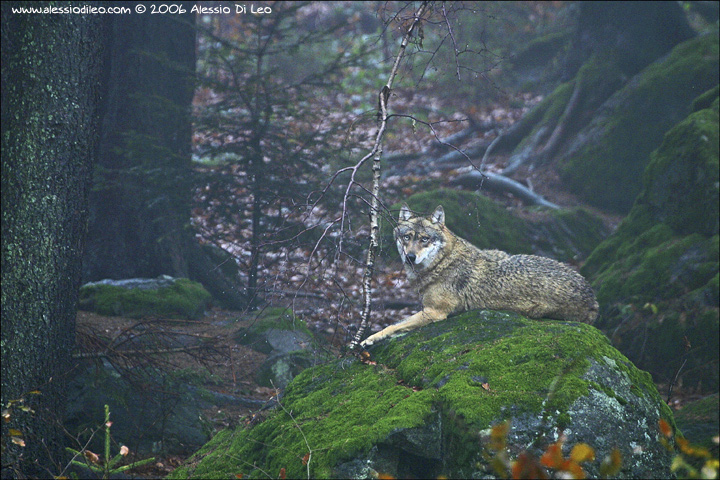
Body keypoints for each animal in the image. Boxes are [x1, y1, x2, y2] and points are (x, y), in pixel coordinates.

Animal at [362, 202, 600, 344]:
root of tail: (593, 297)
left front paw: (369, 339)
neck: (442, 263)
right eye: (407, 237)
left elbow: (394, 325)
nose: (410, 257)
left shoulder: (435, 312)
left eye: (424, 239)